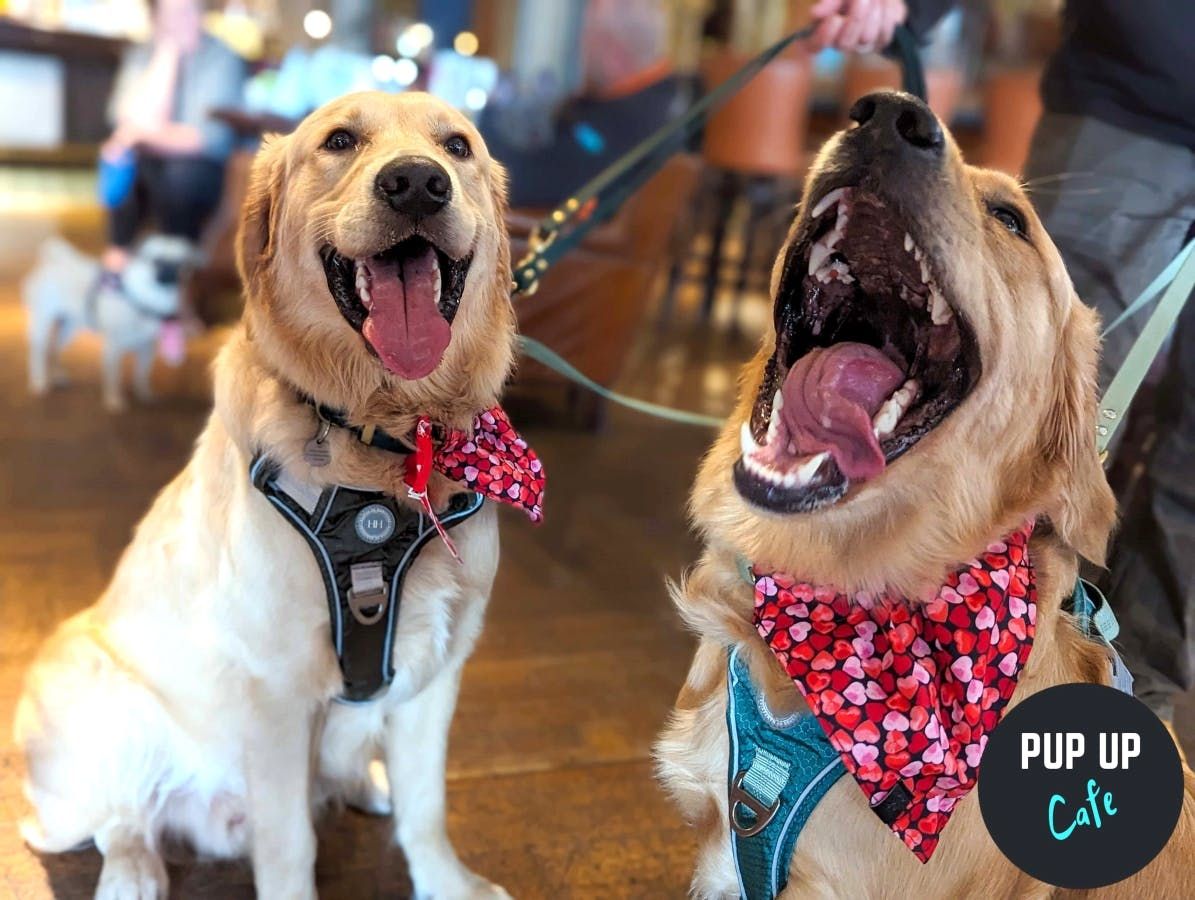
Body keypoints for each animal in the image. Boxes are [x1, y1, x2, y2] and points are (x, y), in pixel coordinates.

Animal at [23, 235, 193, 411]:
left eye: (181, 264)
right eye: (156, 261)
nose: (171, 273)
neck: (142, 300)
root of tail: (54, 263)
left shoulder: (147, 350)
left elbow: (142, 375)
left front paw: (144, 393)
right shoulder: (114, 349)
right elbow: (114, 378)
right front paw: (114, 400)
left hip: (70, 327)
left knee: (55, 348)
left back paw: (57, 375)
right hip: (42, 323)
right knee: (37, 353)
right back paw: (39, 381)